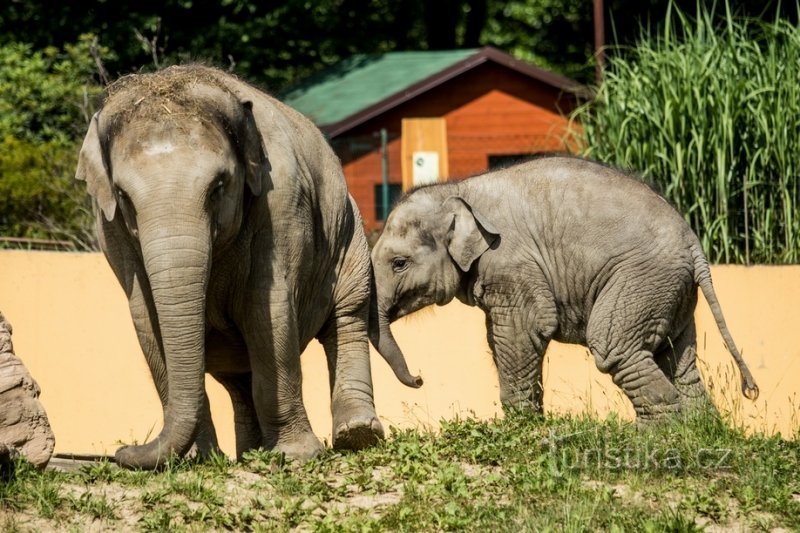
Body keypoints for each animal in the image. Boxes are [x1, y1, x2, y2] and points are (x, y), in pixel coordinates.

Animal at [75, 64, 416, 468]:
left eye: (218, 186)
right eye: (122, 195)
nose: (122, 451)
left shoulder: (282, 200)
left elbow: (266, 311)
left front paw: (296, 455)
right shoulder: (110, 228)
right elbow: (147, 321)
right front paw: (200, 460)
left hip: (349, 234)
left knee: (347, 316)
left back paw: (357, 435)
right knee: (238, 377)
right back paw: (251, 452)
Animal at [368, 154, 756, 420]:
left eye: (399, 263)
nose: (420, 379)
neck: (456, 189)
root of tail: (693, 242)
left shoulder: (510, 260)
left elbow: (524, 331)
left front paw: (521, 427)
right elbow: (499, 337)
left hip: (640, 280)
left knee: (615, 347)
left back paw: (656, 438)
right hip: (671, 291)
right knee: (678, 359)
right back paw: (698, 429)